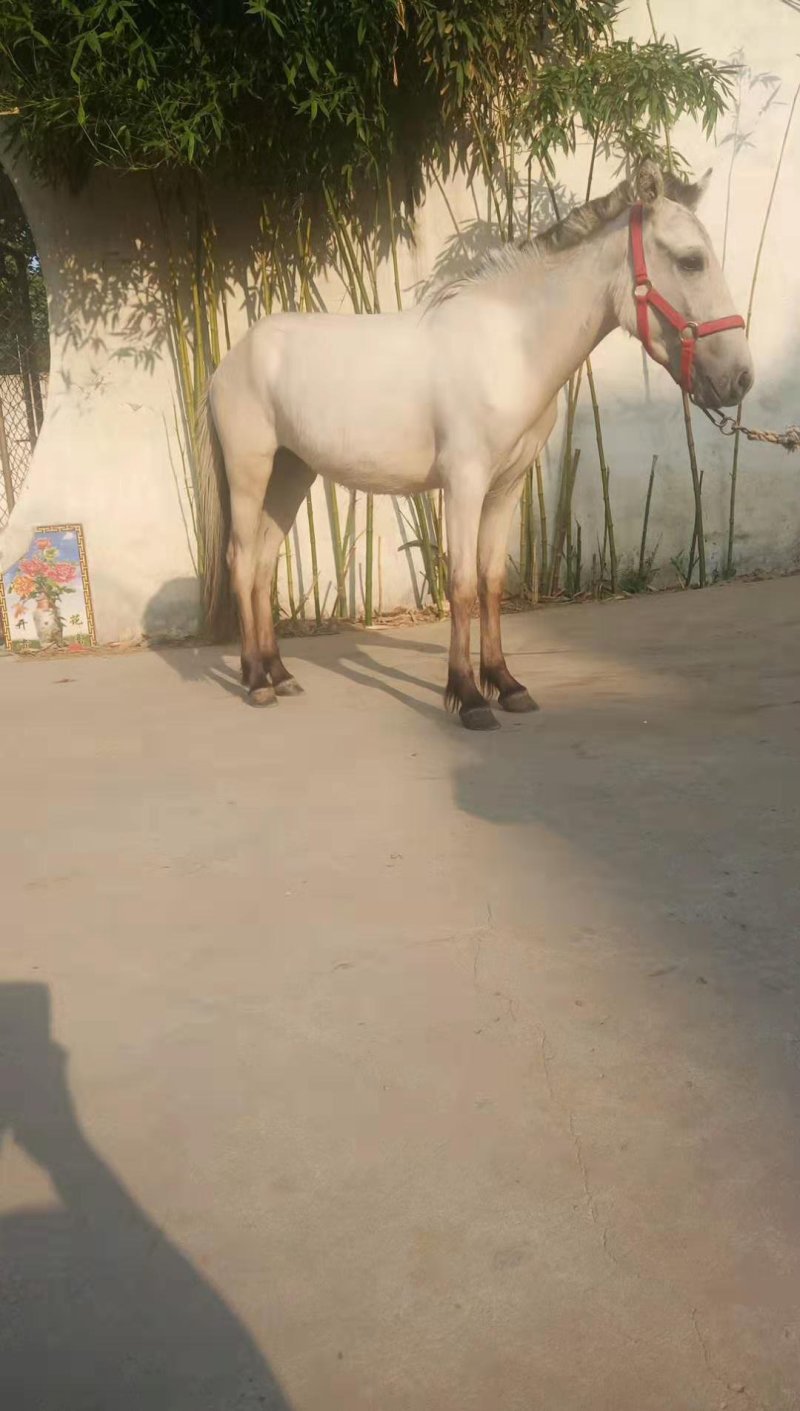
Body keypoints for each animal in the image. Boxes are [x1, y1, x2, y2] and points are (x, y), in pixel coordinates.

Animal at [197, 159, 753, 729]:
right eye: (691, 261)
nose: (739, 379)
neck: (511, 346)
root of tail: (230, 361)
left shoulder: (506, 486)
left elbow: (491, 582)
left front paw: (506, 684)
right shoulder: (463, 483)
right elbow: (462, 583)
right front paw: (468, 696)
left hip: (293, 472)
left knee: (264, 563)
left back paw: (280, 673)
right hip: (251, 470)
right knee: (242, 559)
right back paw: (256, 681)